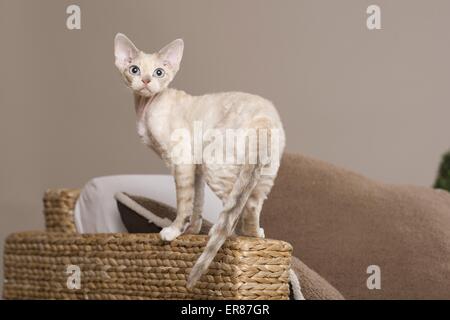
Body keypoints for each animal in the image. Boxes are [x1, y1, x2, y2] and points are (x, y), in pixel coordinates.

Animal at [114, 33, 286, 288]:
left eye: (159, 72)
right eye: (134, 69)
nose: (145, 81)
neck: (146, 107)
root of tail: (264, 118)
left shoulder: (182, 158)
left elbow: (184, 202)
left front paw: (174, 231)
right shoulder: (195, 167)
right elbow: (197, 202)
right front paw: (192, 231)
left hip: (215, 164)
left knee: (234, 209)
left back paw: (229, 234)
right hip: (264, 174)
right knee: (253, 204)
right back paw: (255, 235)